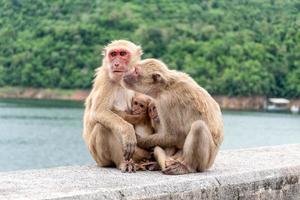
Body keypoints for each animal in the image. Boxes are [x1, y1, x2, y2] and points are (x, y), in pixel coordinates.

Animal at [82, 39, 147, 173]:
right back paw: (122, 163)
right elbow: (99, 112)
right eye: (113, 54)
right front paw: (128, 130)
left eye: (122, 54)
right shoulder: (105, 80)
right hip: (100, 158)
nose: (116, 64)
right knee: (102, 127)